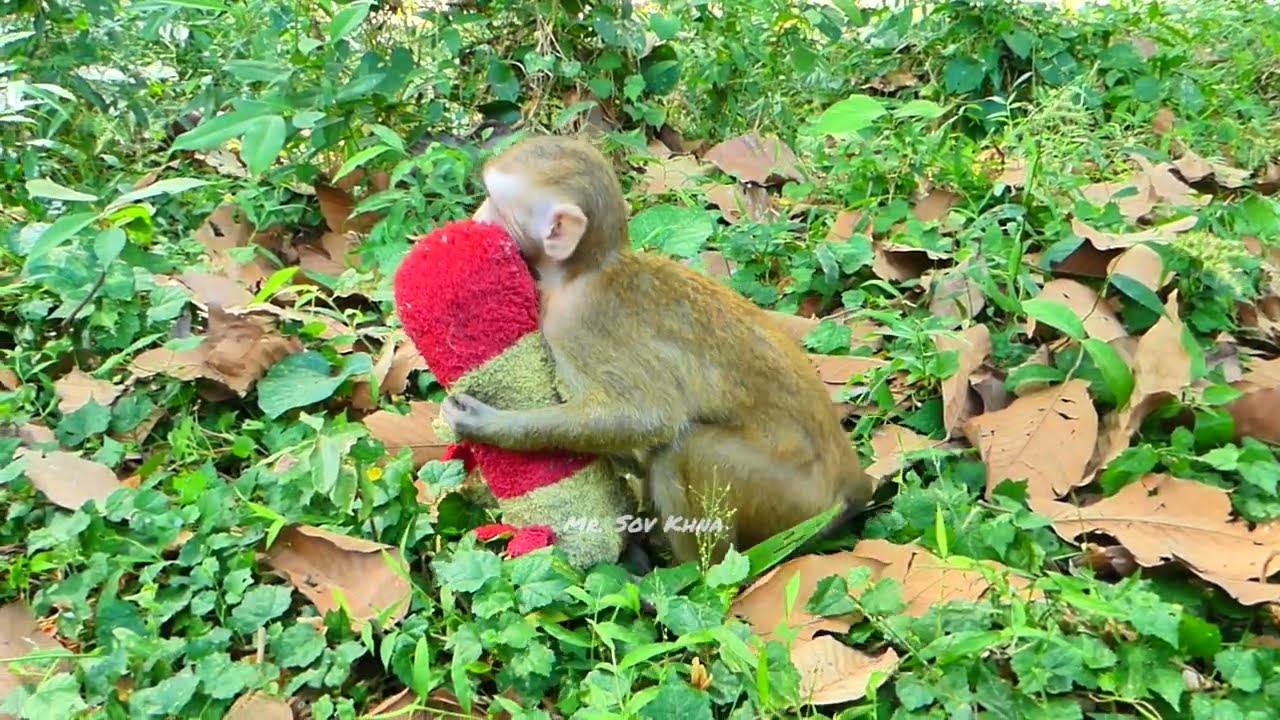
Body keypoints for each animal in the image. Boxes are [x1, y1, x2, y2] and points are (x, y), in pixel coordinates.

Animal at [440, 134, 876, 566]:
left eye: (494, 203)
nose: (474, 218)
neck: (581, 273)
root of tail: (852, 485)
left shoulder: (575, 327)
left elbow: (650, 417)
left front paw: (492, 426)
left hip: (791, 499)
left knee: (687, 449)